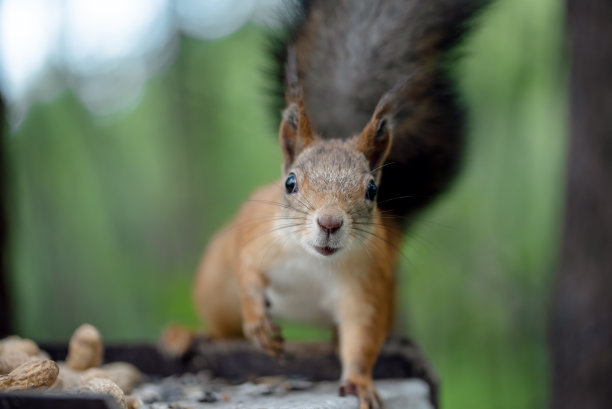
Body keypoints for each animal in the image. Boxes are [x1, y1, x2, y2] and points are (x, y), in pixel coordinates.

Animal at [191, 1, 488, 406]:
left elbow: (362, 337)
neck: (312, 263)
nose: (329, 223)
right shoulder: (253, 238)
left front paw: (360, 382)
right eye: (290, 183)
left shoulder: (365, 284)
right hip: (215, 291)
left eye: (373, 190)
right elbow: (248, 275)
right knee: (223, 329)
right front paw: (260, 325)